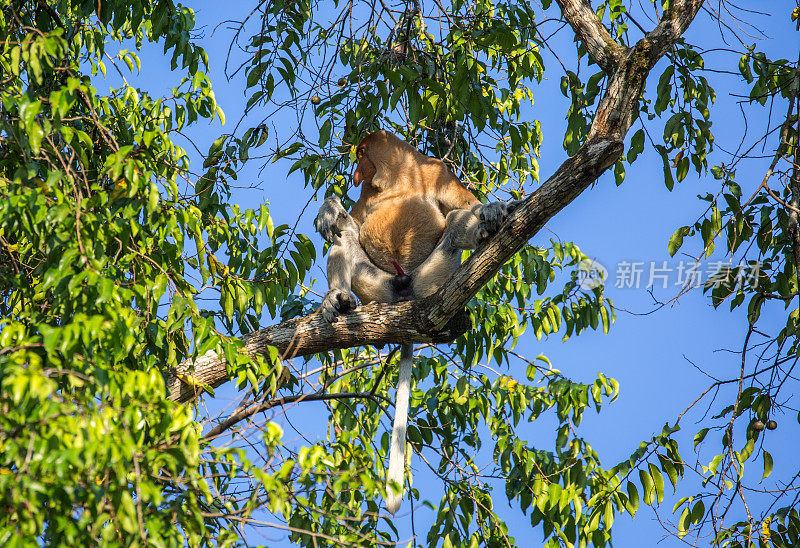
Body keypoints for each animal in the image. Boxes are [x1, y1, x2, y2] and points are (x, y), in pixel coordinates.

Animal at [316, 131, 516, 516]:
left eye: (361, 155)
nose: (356, 174)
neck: (399, 178)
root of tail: (406, 297)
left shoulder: (437, 172)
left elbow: (464, 204)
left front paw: (492, 209)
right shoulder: (367, 201)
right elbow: (351, 225)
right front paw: (327, 210)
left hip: (432, 279)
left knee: (456, 223)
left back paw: (484, 228)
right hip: (378, 287)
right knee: (344, 237)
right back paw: (339, 299)